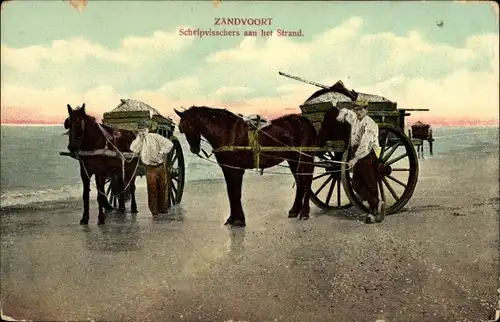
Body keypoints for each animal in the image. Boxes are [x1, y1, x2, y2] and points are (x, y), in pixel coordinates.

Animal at [174, 105, 318, 226]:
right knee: (299, 181)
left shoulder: (236, 170)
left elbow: (235, 193)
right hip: (293, 159)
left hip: (305, 157)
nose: (194, 149)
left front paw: (238, 220)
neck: (228, 132)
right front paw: (232, 219)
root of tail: (304, 120)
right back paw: (295, 210)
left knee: (306, 181)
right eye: (182, 129)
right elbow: (231, 193)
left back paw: (304, 212)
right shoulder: (228, 169)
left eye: (189, 126)